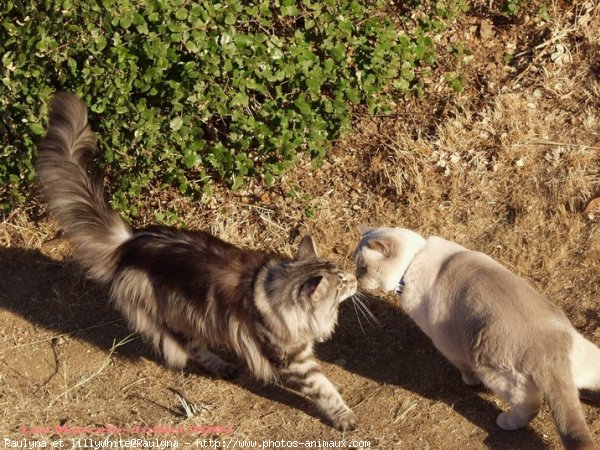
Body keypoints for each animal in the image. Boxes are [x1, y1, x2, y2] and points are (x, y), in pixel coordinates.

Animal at [37, 92, 358, 432]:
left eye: (344, 274)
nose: (355, 279)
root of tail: (132, 242)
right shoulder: (294, 360)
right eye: (342, 283)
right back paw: (222, 366)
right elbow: (323, 389)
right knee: (193, 347)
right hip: (173, 314)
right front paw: (344, 417)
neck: (280, 292)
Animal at [354, 227, 600, 448]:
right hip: (589, 359)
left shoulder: (445, 344)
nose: (356, 280)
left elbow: (463, 369)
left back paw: (505, 422)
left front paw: (468, 382)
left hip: (490, 371)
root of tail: (550, 351)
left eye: (363, 268)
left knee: (530, 405)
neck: (416, 257)